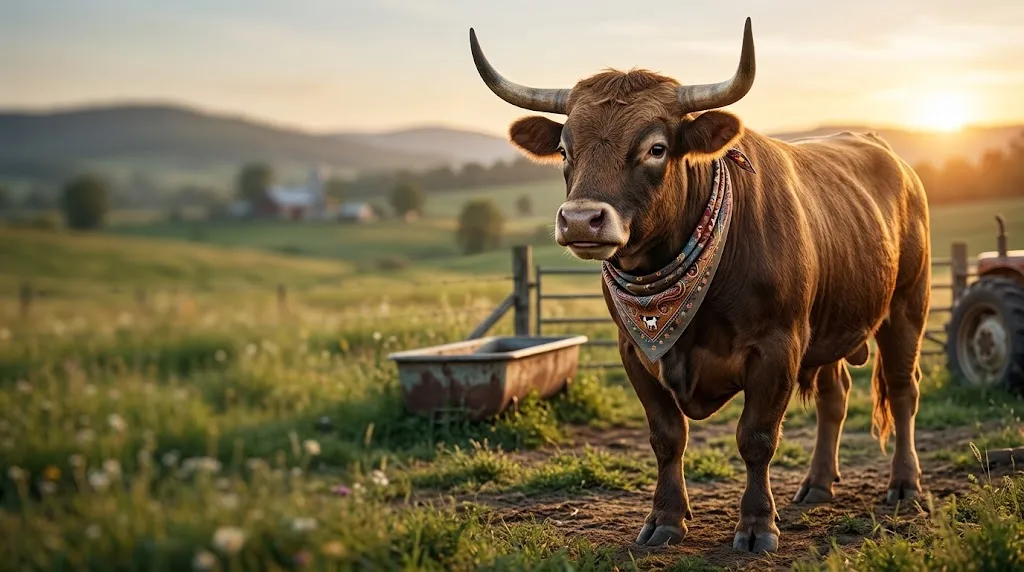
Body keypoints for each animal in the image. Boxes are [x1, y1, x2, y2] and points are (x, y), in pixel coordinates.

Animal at [469, 17, 930, 554]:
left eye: (656, 147)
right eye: (565, 149)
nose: (581, 220)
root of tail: (885, 152)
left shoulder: (777, 346)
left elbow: (756, 437)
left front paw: (756, 525)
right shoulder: (636, 350)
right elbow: (667, 437)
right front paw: (666, 519)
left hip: (907, 307)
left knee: (903, 390)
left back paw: (905, 485)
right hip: (831, 326)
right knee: (834, 395)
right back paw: (817, 484)